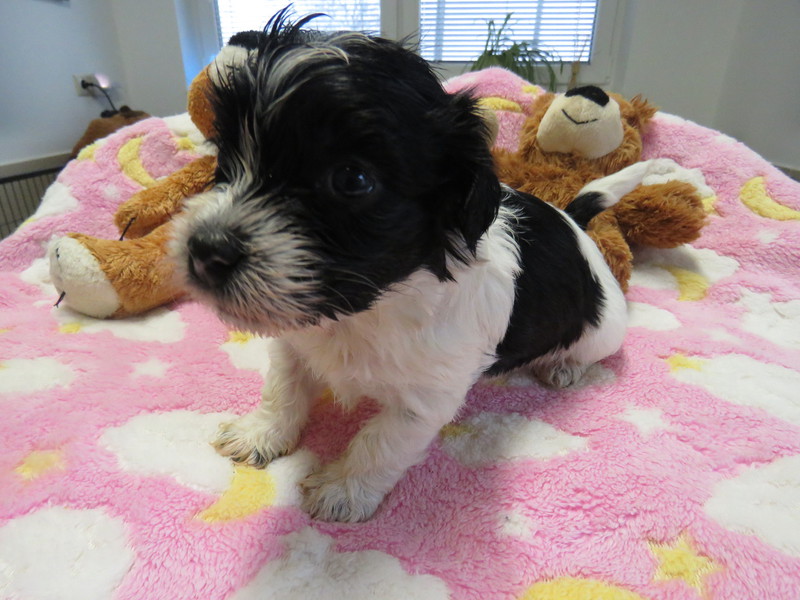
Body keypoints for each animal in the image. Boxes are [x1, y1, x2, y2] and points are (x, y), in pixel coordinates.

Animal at [171, 10, 673, 522]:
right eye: (225, 158)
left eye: (352, 179)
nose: (206, 250)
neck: (363, 309)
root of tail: (575, 223)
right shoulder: (294, 342)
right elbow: (283, 387)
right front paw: (260, 433)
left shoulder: (428, 395)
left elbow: (381, 441)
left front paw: (343, 489)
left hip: (604, 332)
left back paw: (564, 366)